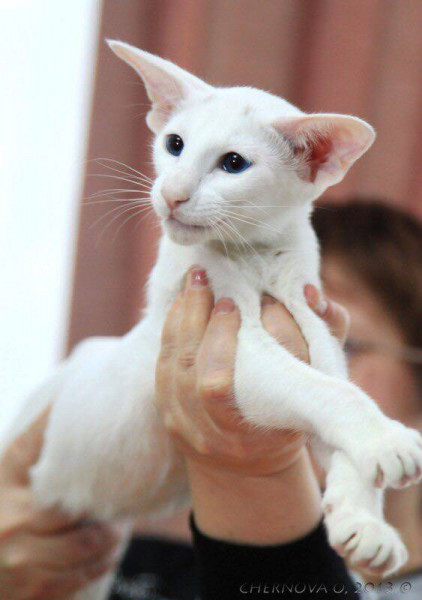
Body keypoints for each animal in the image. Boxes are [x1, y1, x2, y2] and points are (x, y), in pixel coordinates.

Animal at [3, 40, 422, 599]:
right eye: (174, 144)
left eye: (233, 163)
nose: (172, 193)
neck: (254, 256)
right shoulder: (235, 345)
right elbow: (329, 392)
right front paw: (386, 441)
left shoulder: (315, 327)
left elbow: (337, 394)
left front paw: (363, 521)